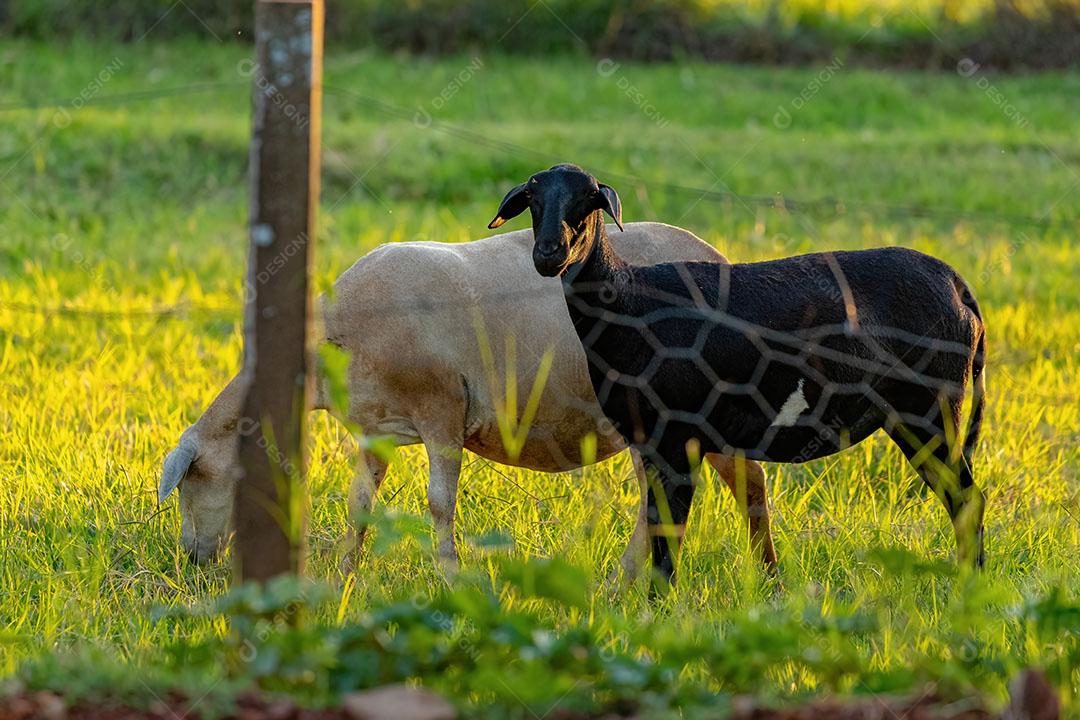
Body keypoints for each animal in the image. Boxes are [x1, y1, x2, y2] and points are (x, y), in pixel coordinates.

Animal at [157, 222, 777, 578]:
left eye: (194, 478)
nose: (191, 562)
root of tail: (721, 259)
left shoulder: (441, 410)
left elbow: (439, 503)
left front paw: (450, 576)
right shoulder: (377, 428)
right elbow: (359, 503)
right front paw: (345, 575)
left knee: (725, 486)